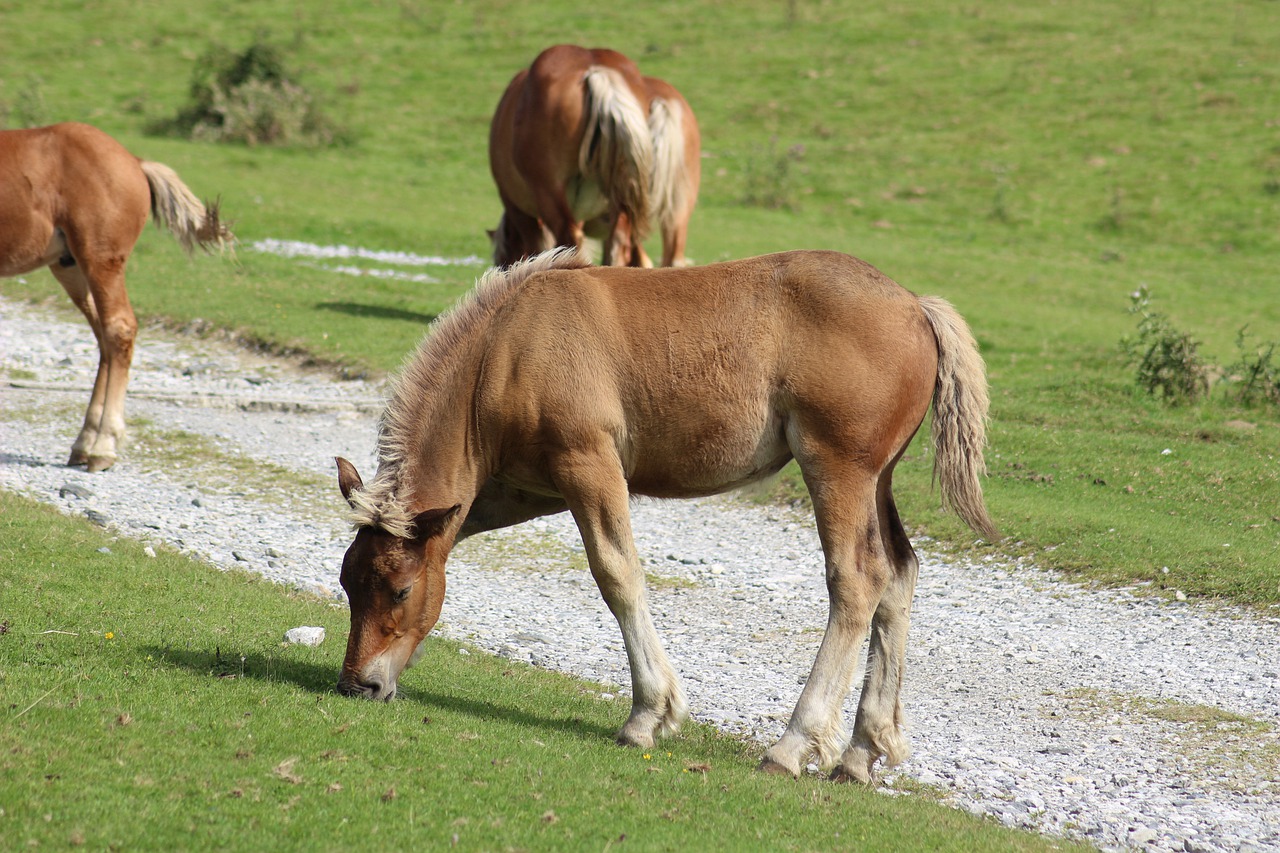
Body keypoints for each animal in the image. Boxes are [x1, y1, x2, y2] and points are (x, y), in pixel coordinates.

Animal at [1, 122, 230, 471]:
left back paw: (102, 447)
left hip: (99, 260)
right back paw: (86, 442)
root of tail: (134, 162)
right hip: (71, 267)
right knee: (105, 339)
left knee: (118, 329)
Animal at [335, 244, 993, 778]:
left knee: (857, 581)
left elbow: (618, 575)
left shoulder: (587, 464)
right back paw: (860, 752)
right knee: (899, 576)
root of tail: (915, 307)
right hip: (878, 479)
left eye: (398, 589)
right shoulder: (520, 490)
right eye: (347, 584)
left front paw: (647, 716)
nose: (356, 684)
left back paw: (791, 745)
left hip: (838, 469)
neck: (505, 348)